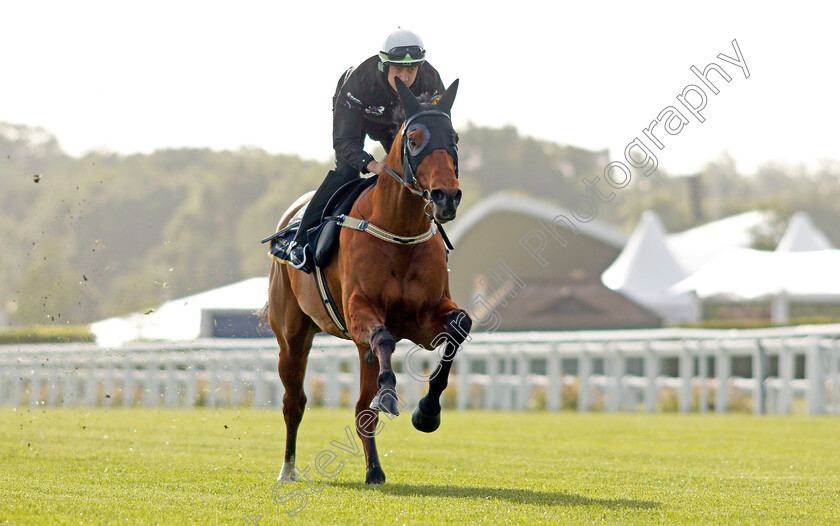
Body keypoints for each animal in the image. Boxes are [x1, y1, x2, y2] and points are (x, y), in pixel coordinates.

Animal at [266, 78, 470, 486]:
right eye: (414, 139)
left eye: (454, 137)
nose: (446, 197)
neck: (399, 232)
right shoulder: (360, 309)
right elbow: (384, 338)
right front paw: (390, 393)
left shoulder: (425, 319)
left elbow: (459, 326)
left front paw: (427, 412)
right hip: (292, 336)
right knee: (294, 402)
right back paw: (288, 469)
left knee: (362, 408)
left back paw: (374, 469)